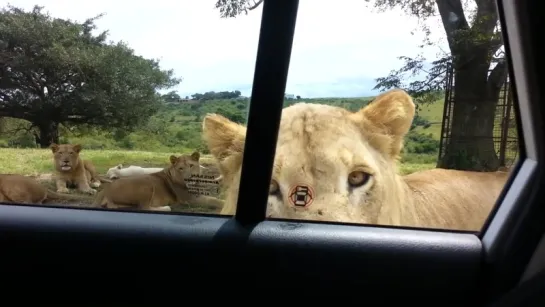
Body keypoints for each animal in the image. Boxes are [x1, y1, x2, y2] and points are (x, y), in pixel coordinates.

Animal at [92, 153, 224, 213]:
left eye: (191, 165)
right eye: (181, 168)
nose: (189, 178)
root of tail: (105, 189)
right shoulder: (190, 199)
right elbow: (213, 200)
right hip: (147, 184)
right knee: (144, 207)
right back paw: (167, 207)